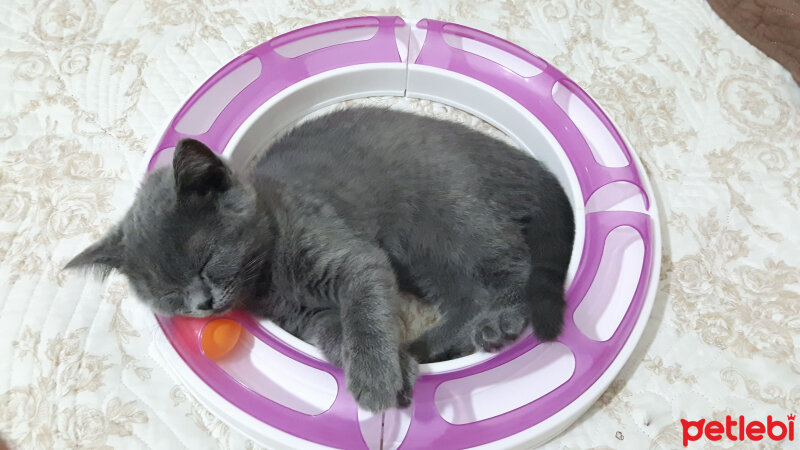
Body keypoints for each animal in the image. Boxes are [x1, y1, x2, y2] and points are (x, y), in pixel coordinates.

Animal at [65, 107, 572, 414]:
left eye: (206, 261)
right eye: (167, 294)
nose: (201, 304)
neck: (269, 278)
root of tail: (521, 162)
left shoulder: (355, 258)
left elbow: (365, 314)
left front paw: (375, 378)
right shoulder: (305, 318)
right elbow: (335, 332)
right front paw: (392, 368)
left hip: (451, 220)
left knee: (515, 266)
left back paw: (500, 321)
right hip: (428, 259)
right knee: (466, 298)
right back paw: (426, 347)